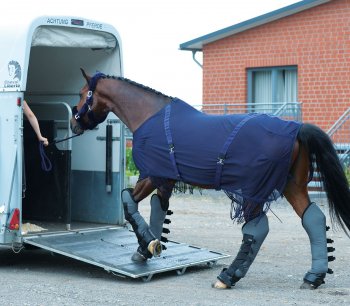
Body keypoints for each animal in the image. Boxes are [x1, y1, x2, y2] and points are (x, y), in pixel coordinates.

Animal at [70, 69, 350, 290]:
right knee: (313, 218)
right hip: (293, 187)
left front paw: (148, 243)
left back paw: (228, 277)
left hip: (254, 191)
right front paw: (146, 249)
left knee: (257, 228)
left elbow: (128, 199)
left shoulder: (153, 175)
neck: (150, 116)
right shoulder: (165, 180)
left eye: (83, 93)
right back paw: (314, 276)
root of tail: (296, 129)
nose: (74, 125)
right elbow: (158, 210)